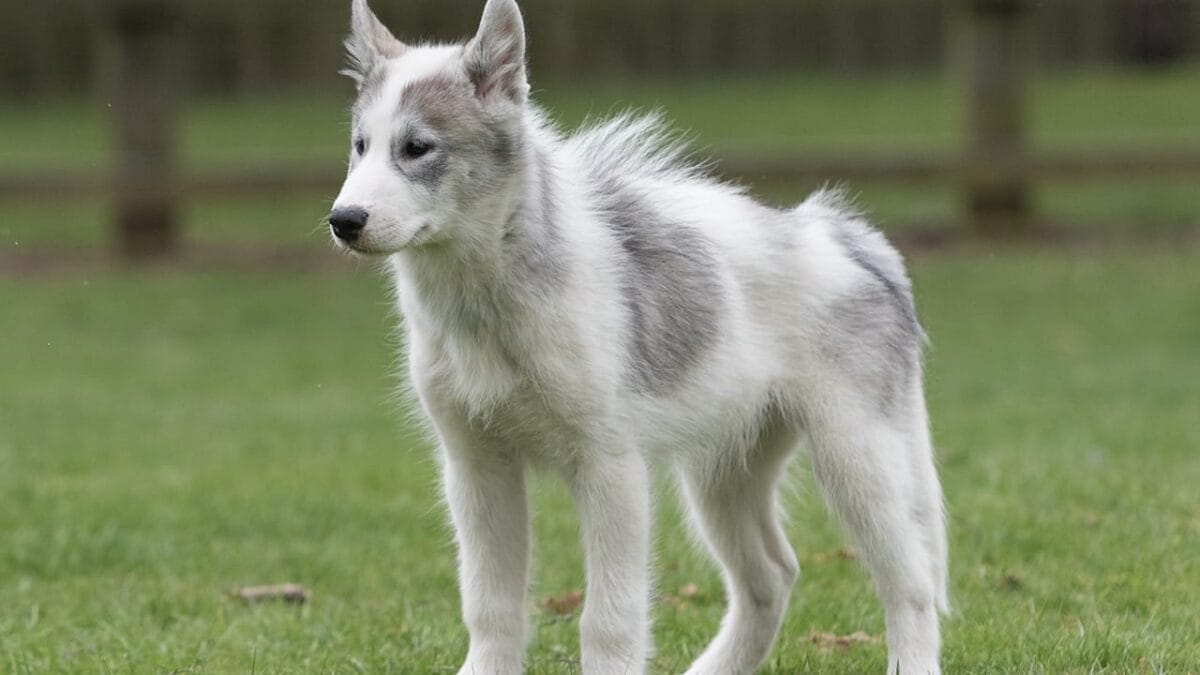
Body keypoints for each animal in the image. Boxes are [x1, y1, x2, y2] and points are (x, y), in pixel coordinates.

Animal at [328, 1, 948, 673]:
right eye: (360, 146)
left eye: (417, 148)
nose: (342, 221)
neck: (487, 302)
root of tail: (848, 235)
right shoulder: (475, 465)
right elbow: (491, 605)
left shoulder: (611, 468)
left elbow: (608, 620)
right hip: (724, 473)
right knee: (773, 575)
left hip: (857, 458)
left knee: (910, 582)